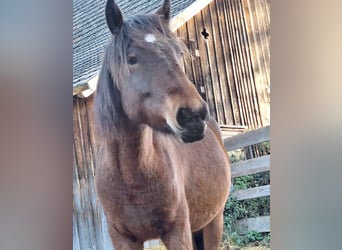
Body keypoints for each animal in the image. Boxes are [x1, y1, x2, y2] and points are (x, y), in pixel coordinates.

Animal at [95, 0, 231, 248]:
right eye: (131, 59)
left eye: (178, 53)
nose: (193, 115)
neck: (131, 178)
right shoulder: (122, 238)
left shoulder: (177, 232)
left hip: (214, 222)